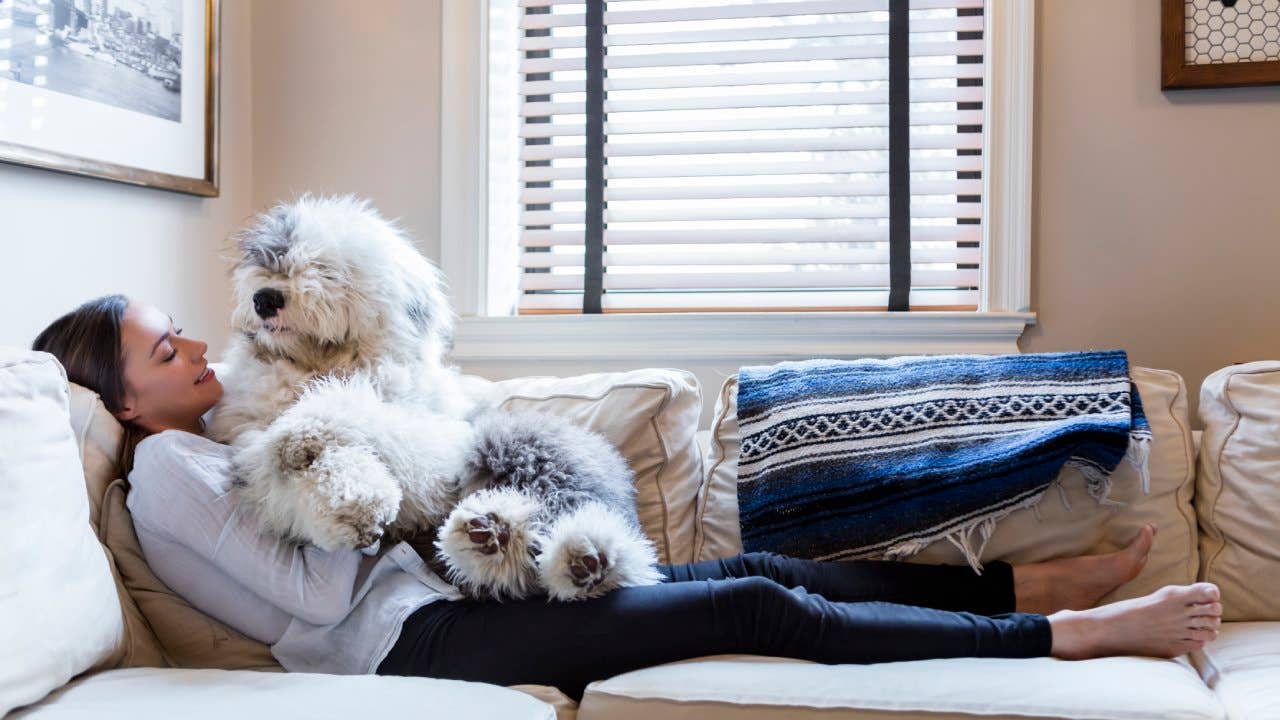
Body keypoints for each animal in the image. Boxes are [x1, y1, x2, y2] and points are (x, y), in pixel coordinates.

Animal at [208, 195, 662, 600]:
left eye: (325, 269)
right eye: (268, 260)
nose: (265, 298)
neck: (319, 366)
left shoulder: (439, 445)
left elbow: (353, 413)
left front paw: (306, 431)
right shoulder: (248, 445)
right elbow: (281, 479)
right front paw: (353, 507)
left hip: (520, 442)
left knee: (586, 518)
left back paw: (584, 556)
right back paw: (493, 539)